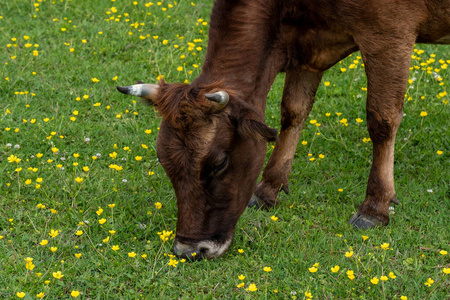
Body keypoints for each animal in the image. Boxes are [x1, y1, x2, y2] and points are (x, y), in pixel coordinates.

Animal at [117, 0, 450, 258]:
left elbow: (381, 119)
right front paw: (268, 188)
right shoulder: (308, 45)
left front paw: (375, 206)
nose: (188, 250)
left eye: (219, 163)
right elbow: (293, 111)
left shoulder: (389, 32)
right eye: (164, 162)